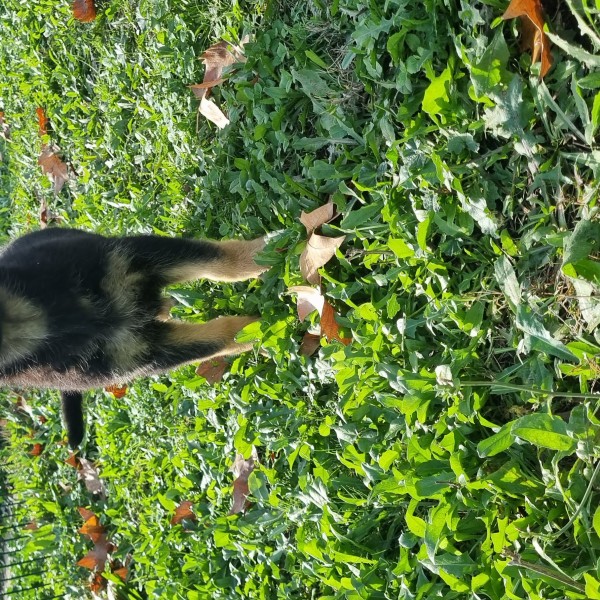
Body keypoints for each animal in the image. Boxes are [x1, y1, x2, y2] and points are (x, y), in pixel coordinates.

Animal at [0, 227, 264, 448]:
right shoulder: (147, 352)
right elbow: (221, 338)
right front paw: (262, 332)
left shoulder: (130, 258)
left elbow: (223, 261)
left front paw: (267, 251)